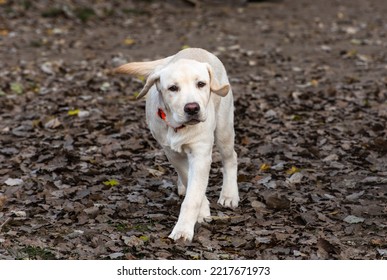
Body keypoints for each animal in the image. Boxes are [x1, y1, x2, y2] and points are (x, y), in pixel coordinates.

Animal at [115, 47, 239, 241]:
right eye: (173, 88)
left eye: (201, 84)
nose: (192, 108)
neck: (178, 127)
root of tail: (194, 48)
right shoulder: (171, 153)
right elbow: (189, 179)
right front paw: (202, 210)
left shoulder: (201, 154)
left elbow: (193, 195)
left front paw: (183, 230)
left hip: (224, 128)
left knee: (231, 158)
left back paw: (229, 194)